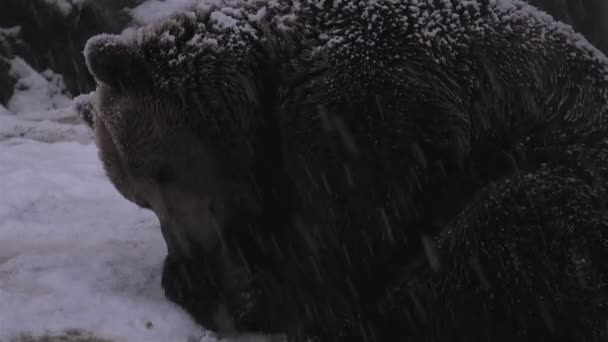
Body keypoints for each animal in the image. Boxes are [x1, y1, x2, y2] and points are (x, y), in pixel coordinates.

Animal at [83, 0, 608, 340]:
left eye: (159, 174)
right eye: (140, 199)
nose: (191, 253)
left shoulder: (370, 112)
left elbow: (348, 237)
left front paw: (226, 289)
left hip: (569, 172)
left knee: (504, 224)